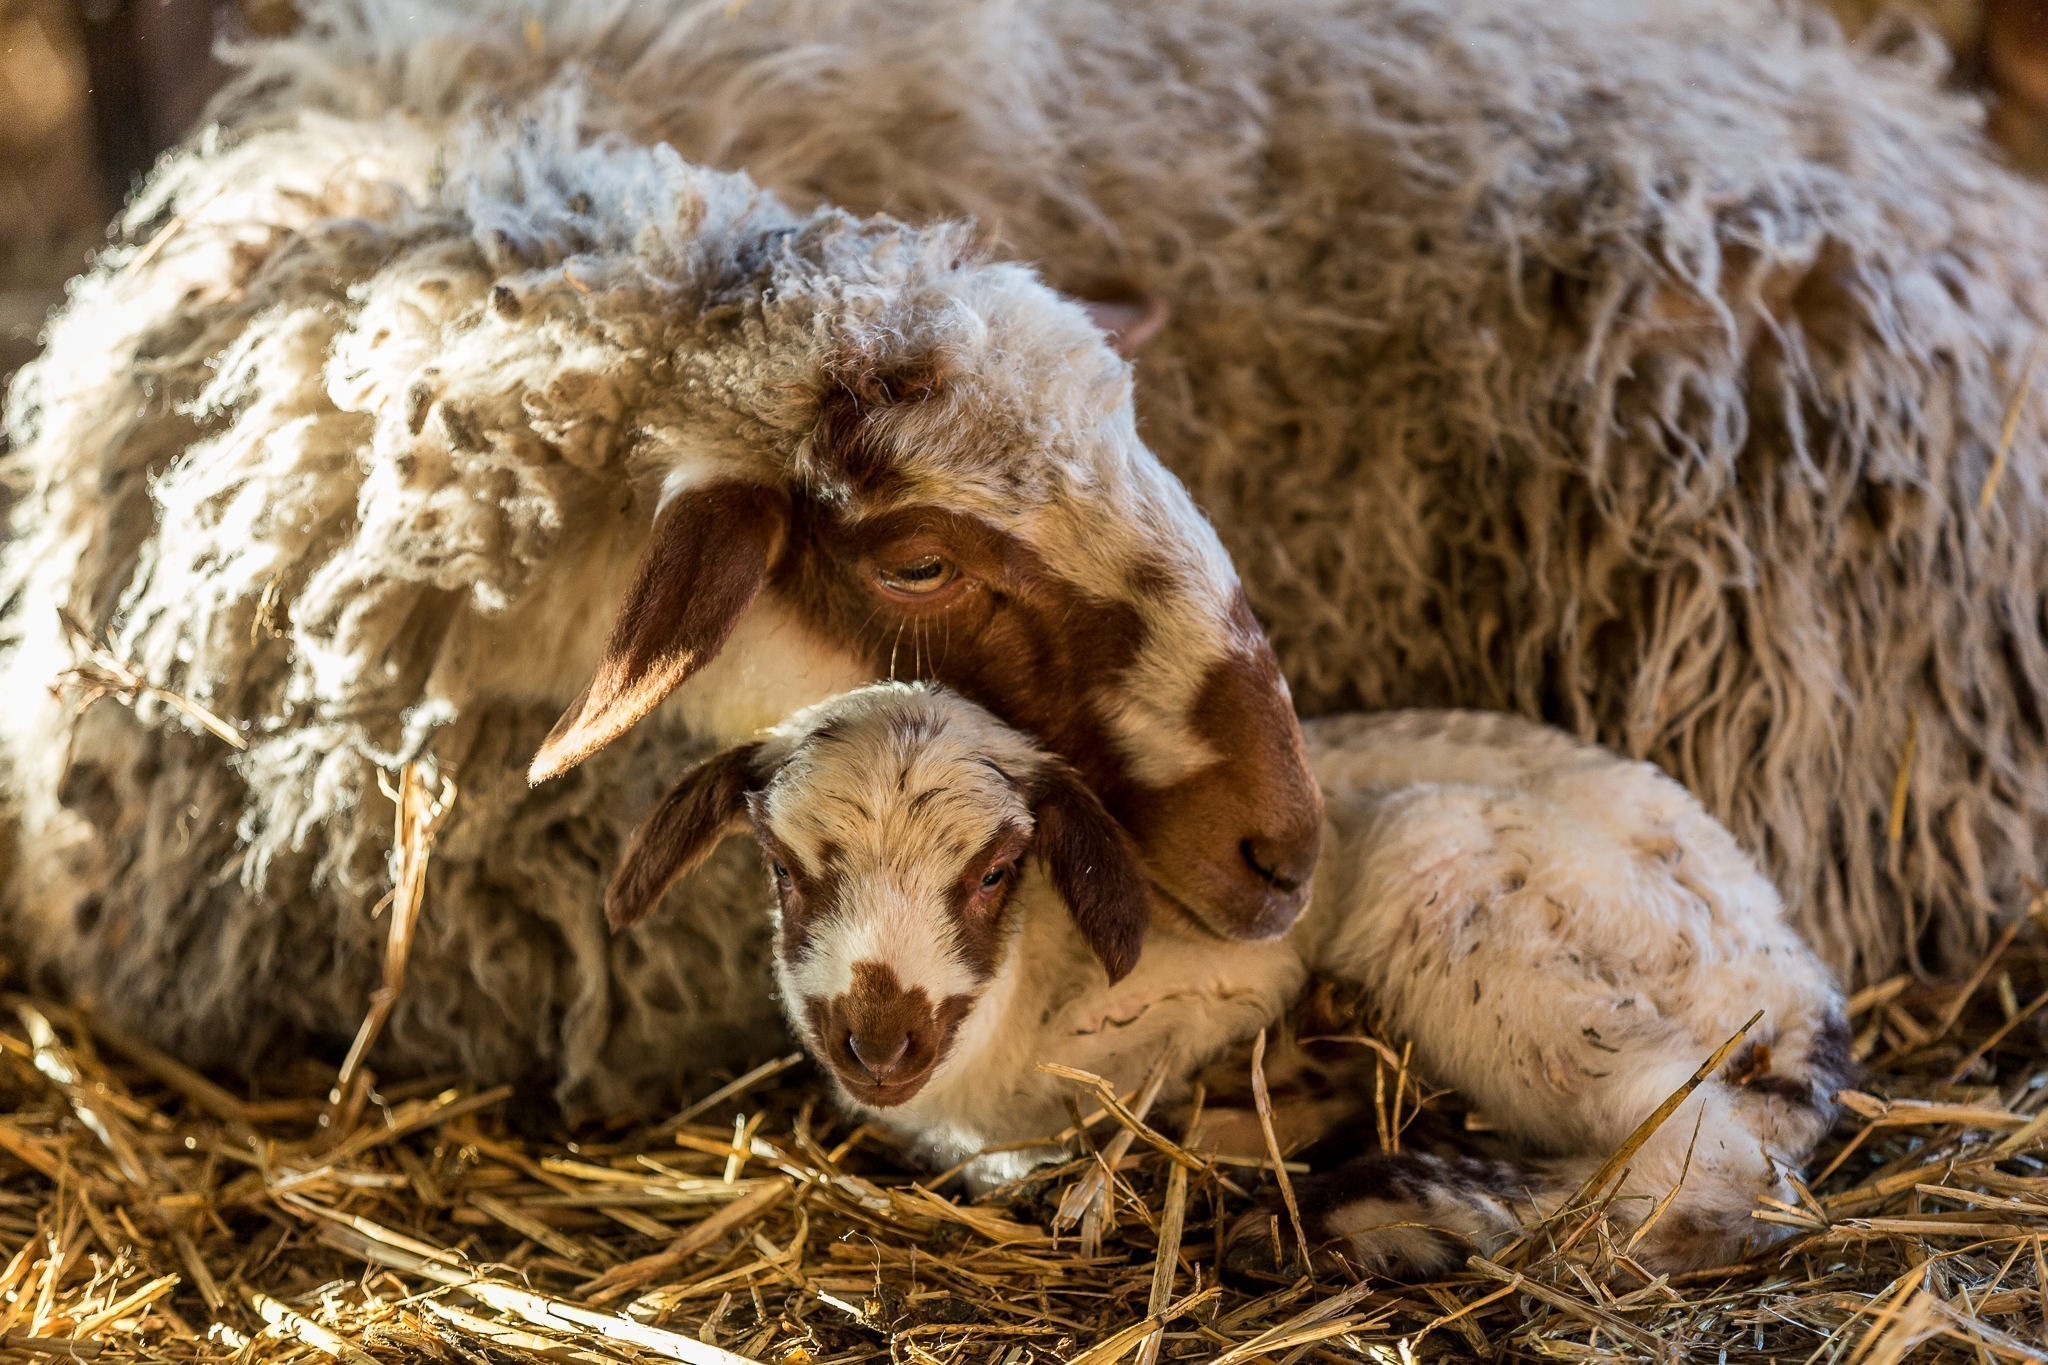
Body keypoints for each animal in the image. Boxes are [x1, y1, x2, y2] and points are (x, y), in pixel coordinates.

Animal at [610, 687, 1859, 1277]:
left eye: (995, 870)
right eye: (781, 867)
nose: (878, 1044)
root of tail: (1800, 989)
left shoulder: (1229, 983)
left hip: (1447, 867)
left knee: (1708, 1168)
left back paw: (1386, 1214)